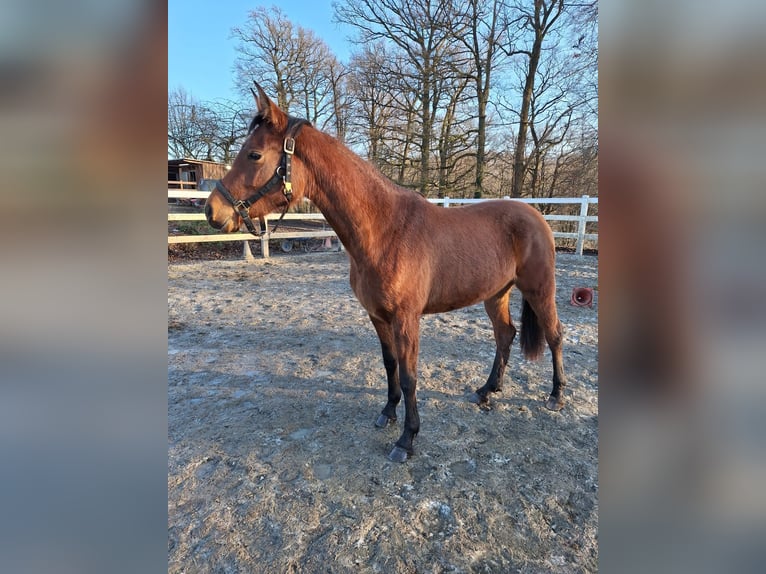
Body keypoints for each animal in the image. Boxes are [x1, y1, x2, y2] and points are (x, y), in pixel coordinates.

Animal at [207, 84, 568, 464]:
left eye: (255, 155)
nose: (212, 211)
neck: (384, 230)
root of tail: (536, 215)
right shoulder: (378, 316)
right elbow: (389, 364)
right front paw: (388, 412)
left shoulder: (406, 319)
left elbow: (409, 376)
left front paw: (407, 439)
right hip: (496, 293)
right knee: (505, 335)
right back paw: (486, 390)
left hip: (539, 289)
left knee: (554, 335)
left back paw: (556, 395)